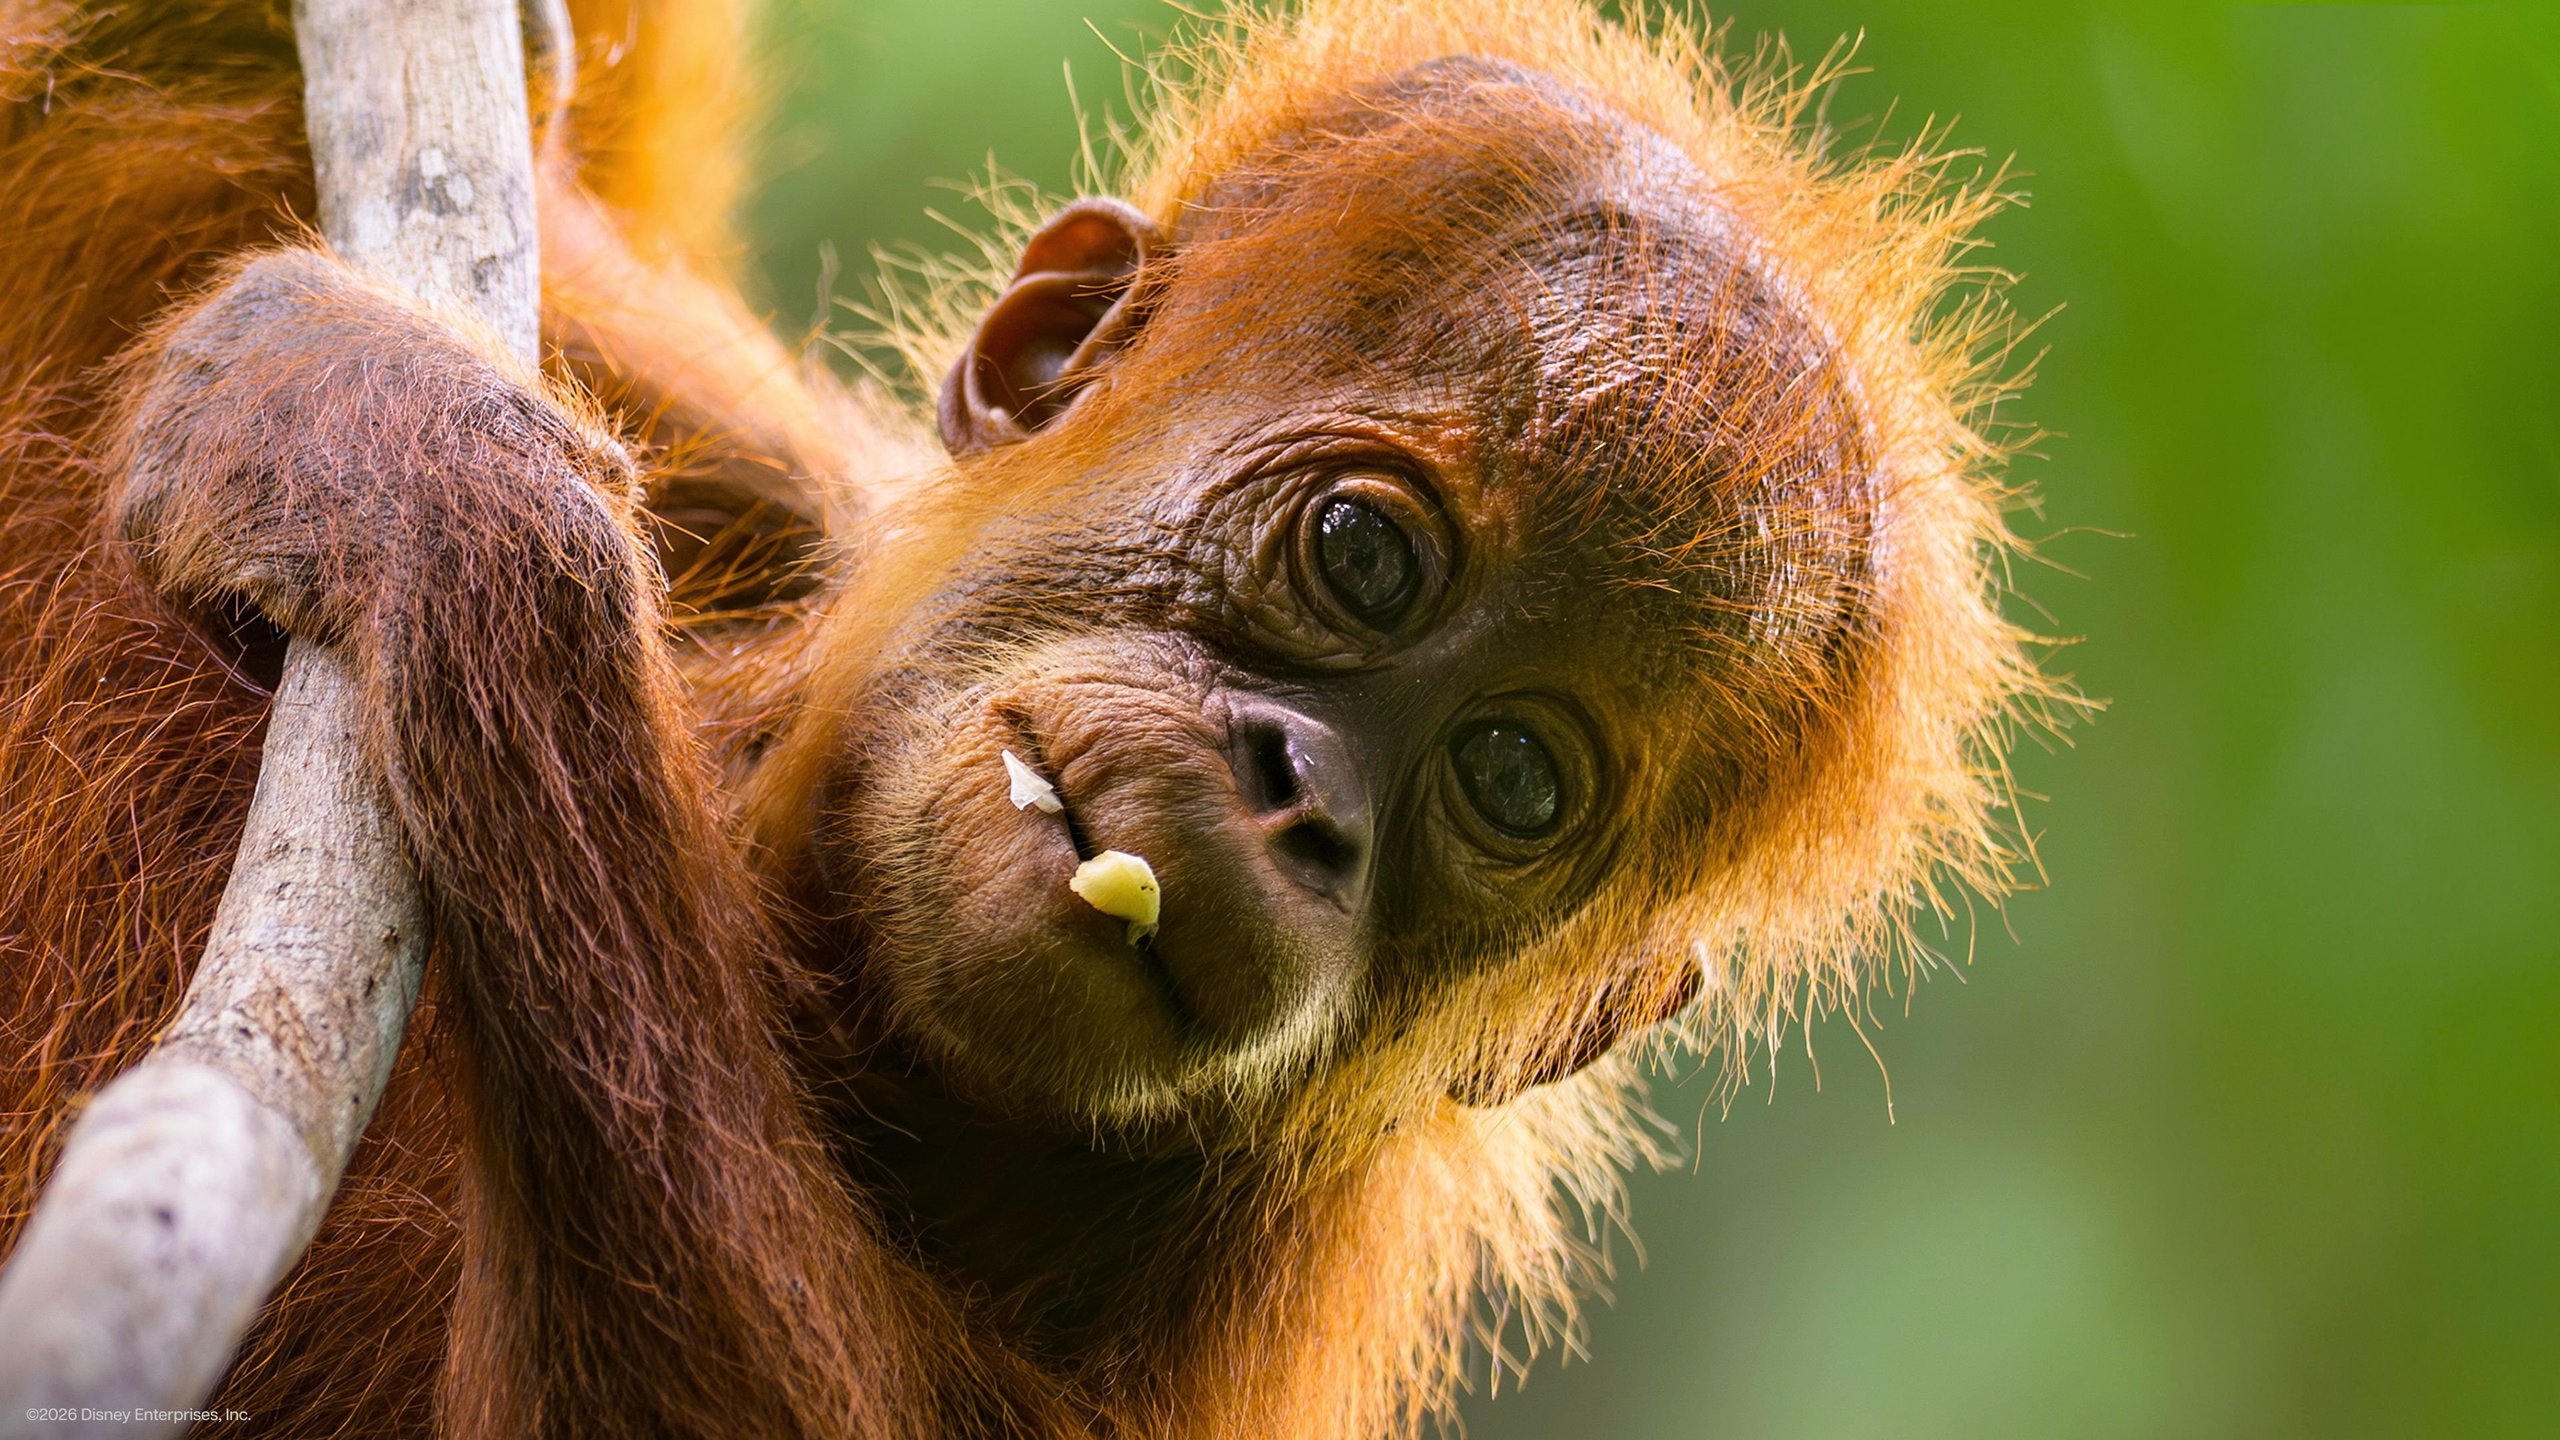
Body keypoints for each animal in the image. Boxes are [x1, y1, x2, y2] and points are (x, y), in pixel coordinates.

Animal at [0, 0, 2049, 1435]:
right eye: (1365, 555)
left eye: (1514, 776)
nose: (1300, 798)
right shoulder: (767, 482)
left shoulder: (1233, 1292)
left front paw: (420, 482)